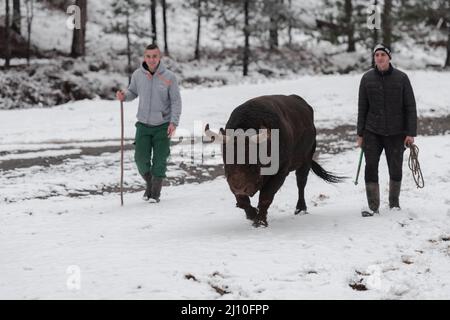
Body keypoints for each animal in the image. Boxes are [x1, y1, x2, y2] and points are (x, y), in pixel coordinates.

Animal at [205, 95, 344, 228]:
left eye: (251, 162)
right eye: (226, 160)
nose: (239, 187)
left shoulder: (280, 172)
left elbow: (266, 196)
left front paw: (260, 221)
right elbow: (242, 201)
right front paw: (252, 215)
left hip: (306, 160)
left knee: (301, 182)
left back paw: (300, 209)